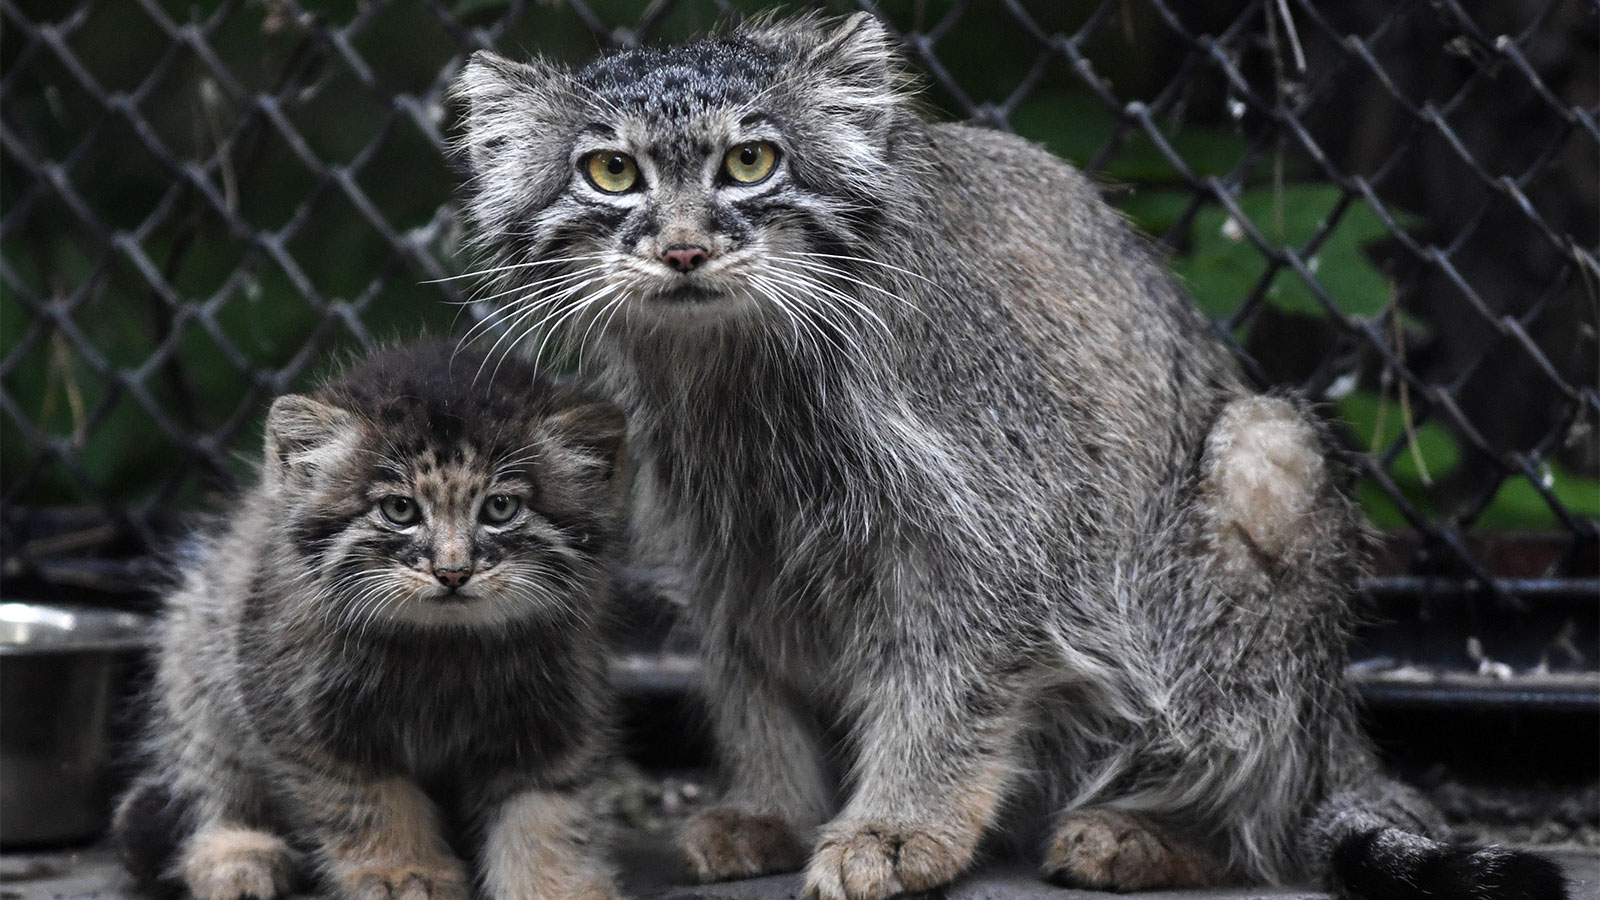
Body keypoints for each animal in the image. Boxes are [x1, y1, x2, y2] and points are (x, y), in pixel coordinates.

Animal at [111, 339, 624, 896]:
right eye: (400, 511)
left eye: (500, 508)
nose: (453, 572)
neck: (445, 648)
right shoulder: (301, 711)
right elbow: (369, 803)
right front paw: (404, 872)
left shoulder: (560, 712)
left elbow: (548, 812)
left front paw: (555, 886)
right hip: (196, 647)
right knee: (199, 780)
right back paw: (236, 854)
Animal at [457, 12, 1568, 896]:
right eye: (610, 172)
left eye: (749, 163)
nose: (684, 250)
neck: (735, 373)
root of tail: (1342, 732)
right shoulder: (728, 537)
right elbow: (750, 682)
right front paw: (774, 804)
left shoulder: (992, 535)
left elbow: (948, 689)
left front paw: (897, 824)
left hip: (1269, 456)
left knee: (1260, 781)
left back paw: (1158, 832)